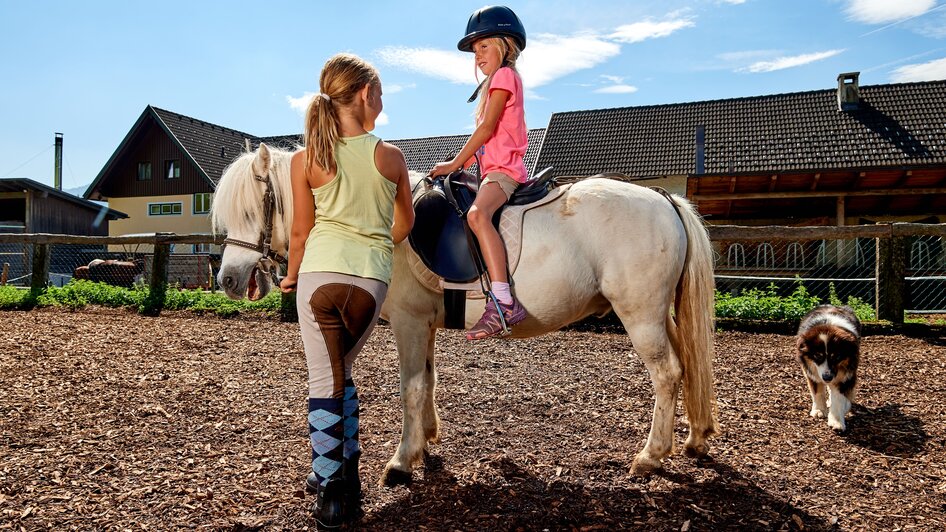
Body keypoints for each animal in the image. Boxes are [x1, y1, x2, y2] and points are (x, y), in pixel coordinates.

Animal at [212, 143, 716, 484]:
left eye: (253, 208)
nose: (228, 279)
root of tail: (665, 200)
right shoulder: (425, 324)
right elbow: (428, 380)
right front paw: (427, 439)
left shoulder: (409, 322)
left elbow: (411, 388)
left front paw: (402, 460)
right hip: (661, 315)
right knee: (688, 365)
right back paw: (695, 437)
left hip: (640, 315)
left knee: (667, 374)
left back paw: (651, 455)